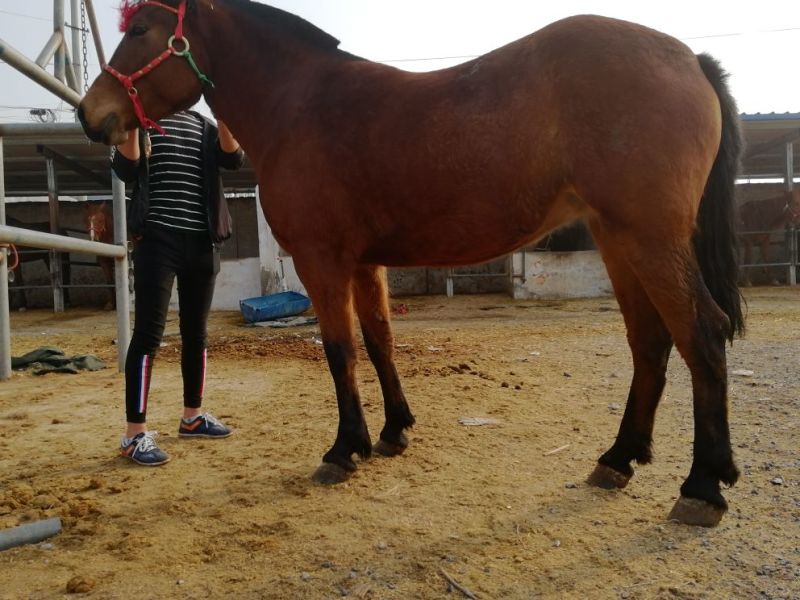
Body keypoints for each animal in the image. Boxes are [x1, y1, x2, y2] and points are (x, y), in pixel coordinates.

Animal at [78, 0, 745, 527]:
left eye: (141, 29)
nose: (91, 114)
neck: (301, 106)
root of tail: (688, 59)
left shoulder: (323, 260)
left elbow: (340, 350)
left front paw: (344, 449)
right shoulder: (364, 263)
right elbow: (380, 342)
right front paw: (394, 431)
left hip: (649, 239)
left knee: (701, 335)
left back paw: (702, 487)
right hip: (619, 240)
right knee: (650, 342)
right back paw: (617, 460)